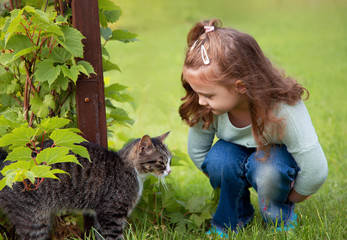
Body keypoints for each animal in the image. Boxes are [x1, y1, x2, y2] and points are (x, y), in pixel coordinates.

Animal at [0, 132, 173, 239]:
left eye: (170, 161)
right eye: (162, 162)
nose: (170, 171)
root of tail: (4, 164)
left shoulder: (102, 216)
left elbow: (101, 236)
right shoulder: (111, 214)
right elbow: (114, 237)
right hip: (33, 220)